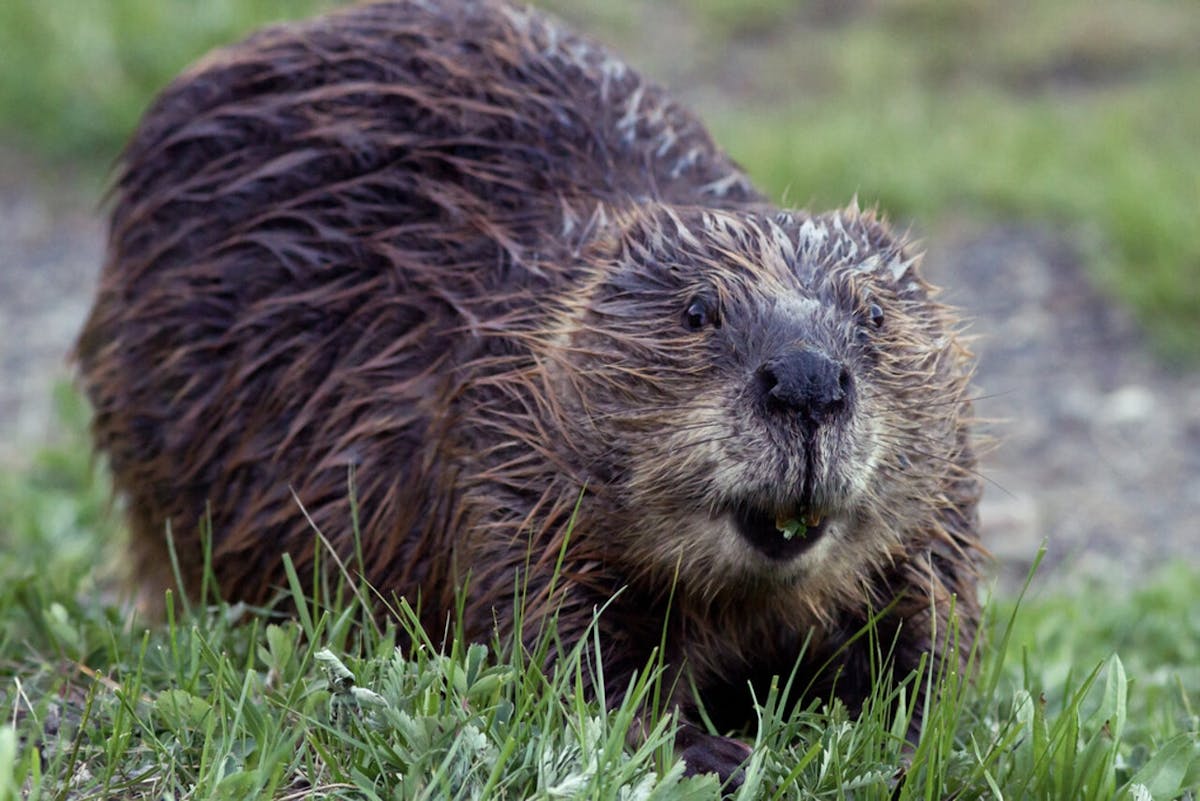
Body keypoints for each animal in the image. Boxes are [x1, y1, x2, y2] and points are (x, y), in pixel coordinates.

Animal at [79, 0, 984, 786]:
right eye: (698, 310)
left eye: (875, 313)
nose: (806, 381)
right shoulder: (496, 452)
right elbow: (552, 639)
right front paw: (712, 751)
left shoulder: (942, 501)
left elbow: (934, 625)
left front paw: (906, 741)